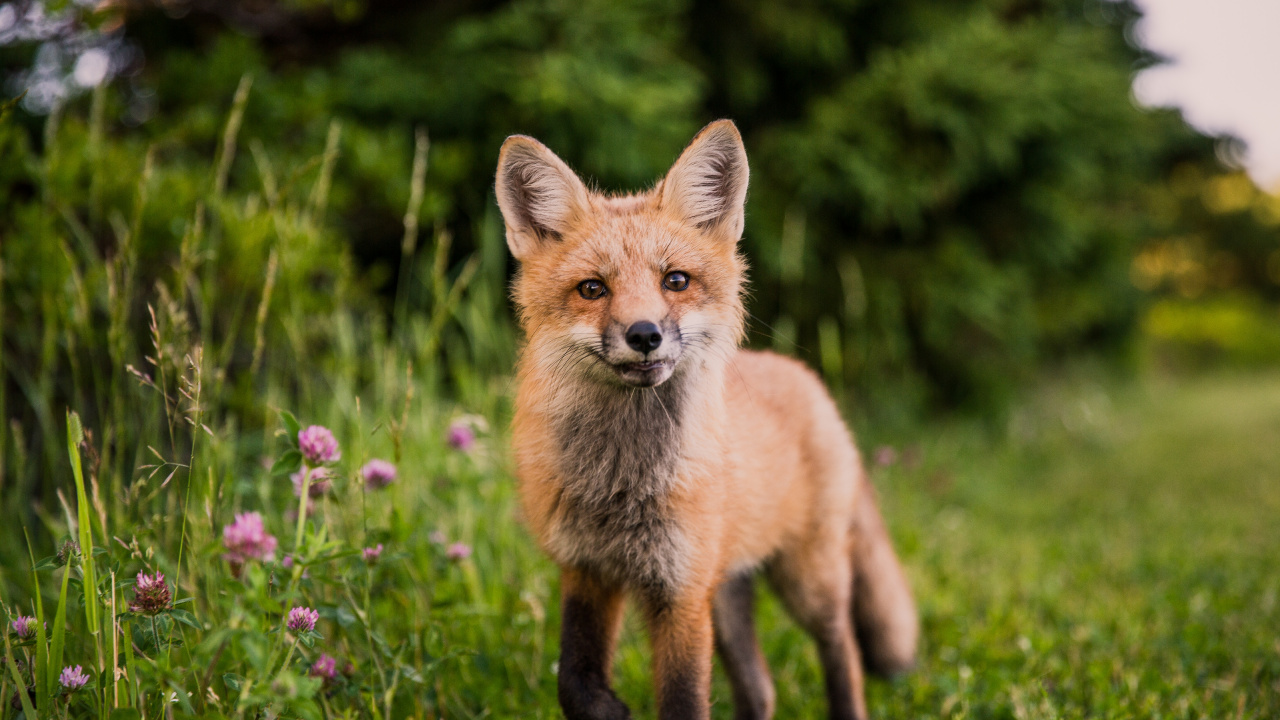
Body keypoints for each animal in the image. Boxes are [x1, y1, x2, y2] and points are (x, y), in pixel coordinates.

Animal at [496, 119, 919, 720]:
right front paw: (609, 708)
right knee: (761, 689)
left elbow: (683, 699)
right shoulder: (587, 571)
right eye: (592, 289)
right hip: (727, 593)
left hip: (807, 580)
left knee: (844, 650)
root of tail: (806, 377)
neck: (622, 485)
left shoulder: (681, 591)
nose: (644, 334)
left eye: (675, 281)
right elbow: (572, 680)